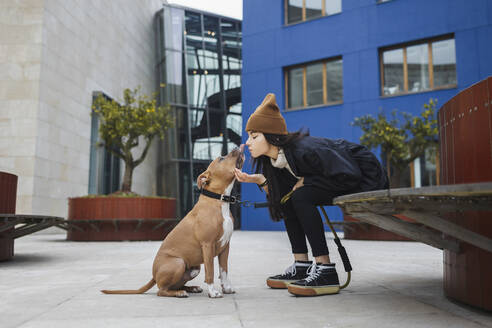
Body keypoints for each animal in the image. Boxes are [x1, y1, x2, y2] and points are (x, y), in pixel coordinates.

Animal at [101, 145, 245, 298]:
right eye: (221, 158)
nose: (237, 147)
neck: (219, 200)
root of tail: (154, 275)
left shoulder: (225, 247)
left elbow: (224, 271)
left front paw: (227, 288)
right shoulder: (208, 245)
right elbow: (210, 272)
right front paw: (213, 292)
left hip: (194, 268)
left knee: (175, 284)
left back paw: (190, 288)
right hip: (178, 262)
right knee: (161, 290)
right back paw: (179, 293)